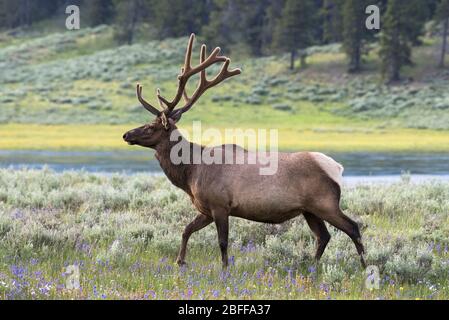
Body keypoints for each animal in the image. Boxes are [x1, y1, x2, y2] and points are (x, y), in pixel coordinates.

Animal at [121, 33, 364, 268]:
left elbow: (222, 242)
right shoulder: (206, 209)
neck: (190, 174)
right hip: (309, 210)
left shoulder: (220, 204)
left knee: (353, 228)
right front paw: (180, 261)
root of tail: (337, 168)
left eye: (150, 127)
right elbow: (186, 230)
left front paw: (225, 270)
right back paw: (312, 266)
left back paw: (364, 266)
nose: (126, 134)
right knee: (323, 236)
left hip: (325, 203)